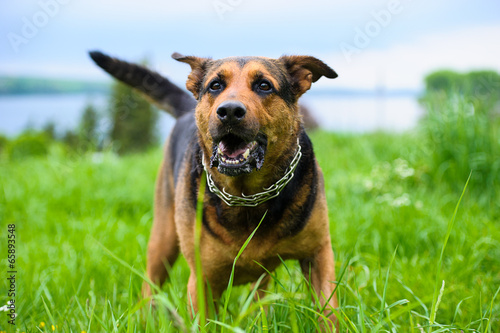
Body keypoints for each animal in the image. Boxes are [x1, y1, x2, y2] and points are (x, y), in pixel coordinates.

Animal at [89, 50, 340, 328]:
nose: (229, 111)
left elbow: (328, 312)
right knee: (149, 286)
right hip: (163, 239)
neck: (247, 194)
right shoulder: (203, 281)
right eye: (215, 85)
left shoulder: (318, 254)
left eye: (264, 85)